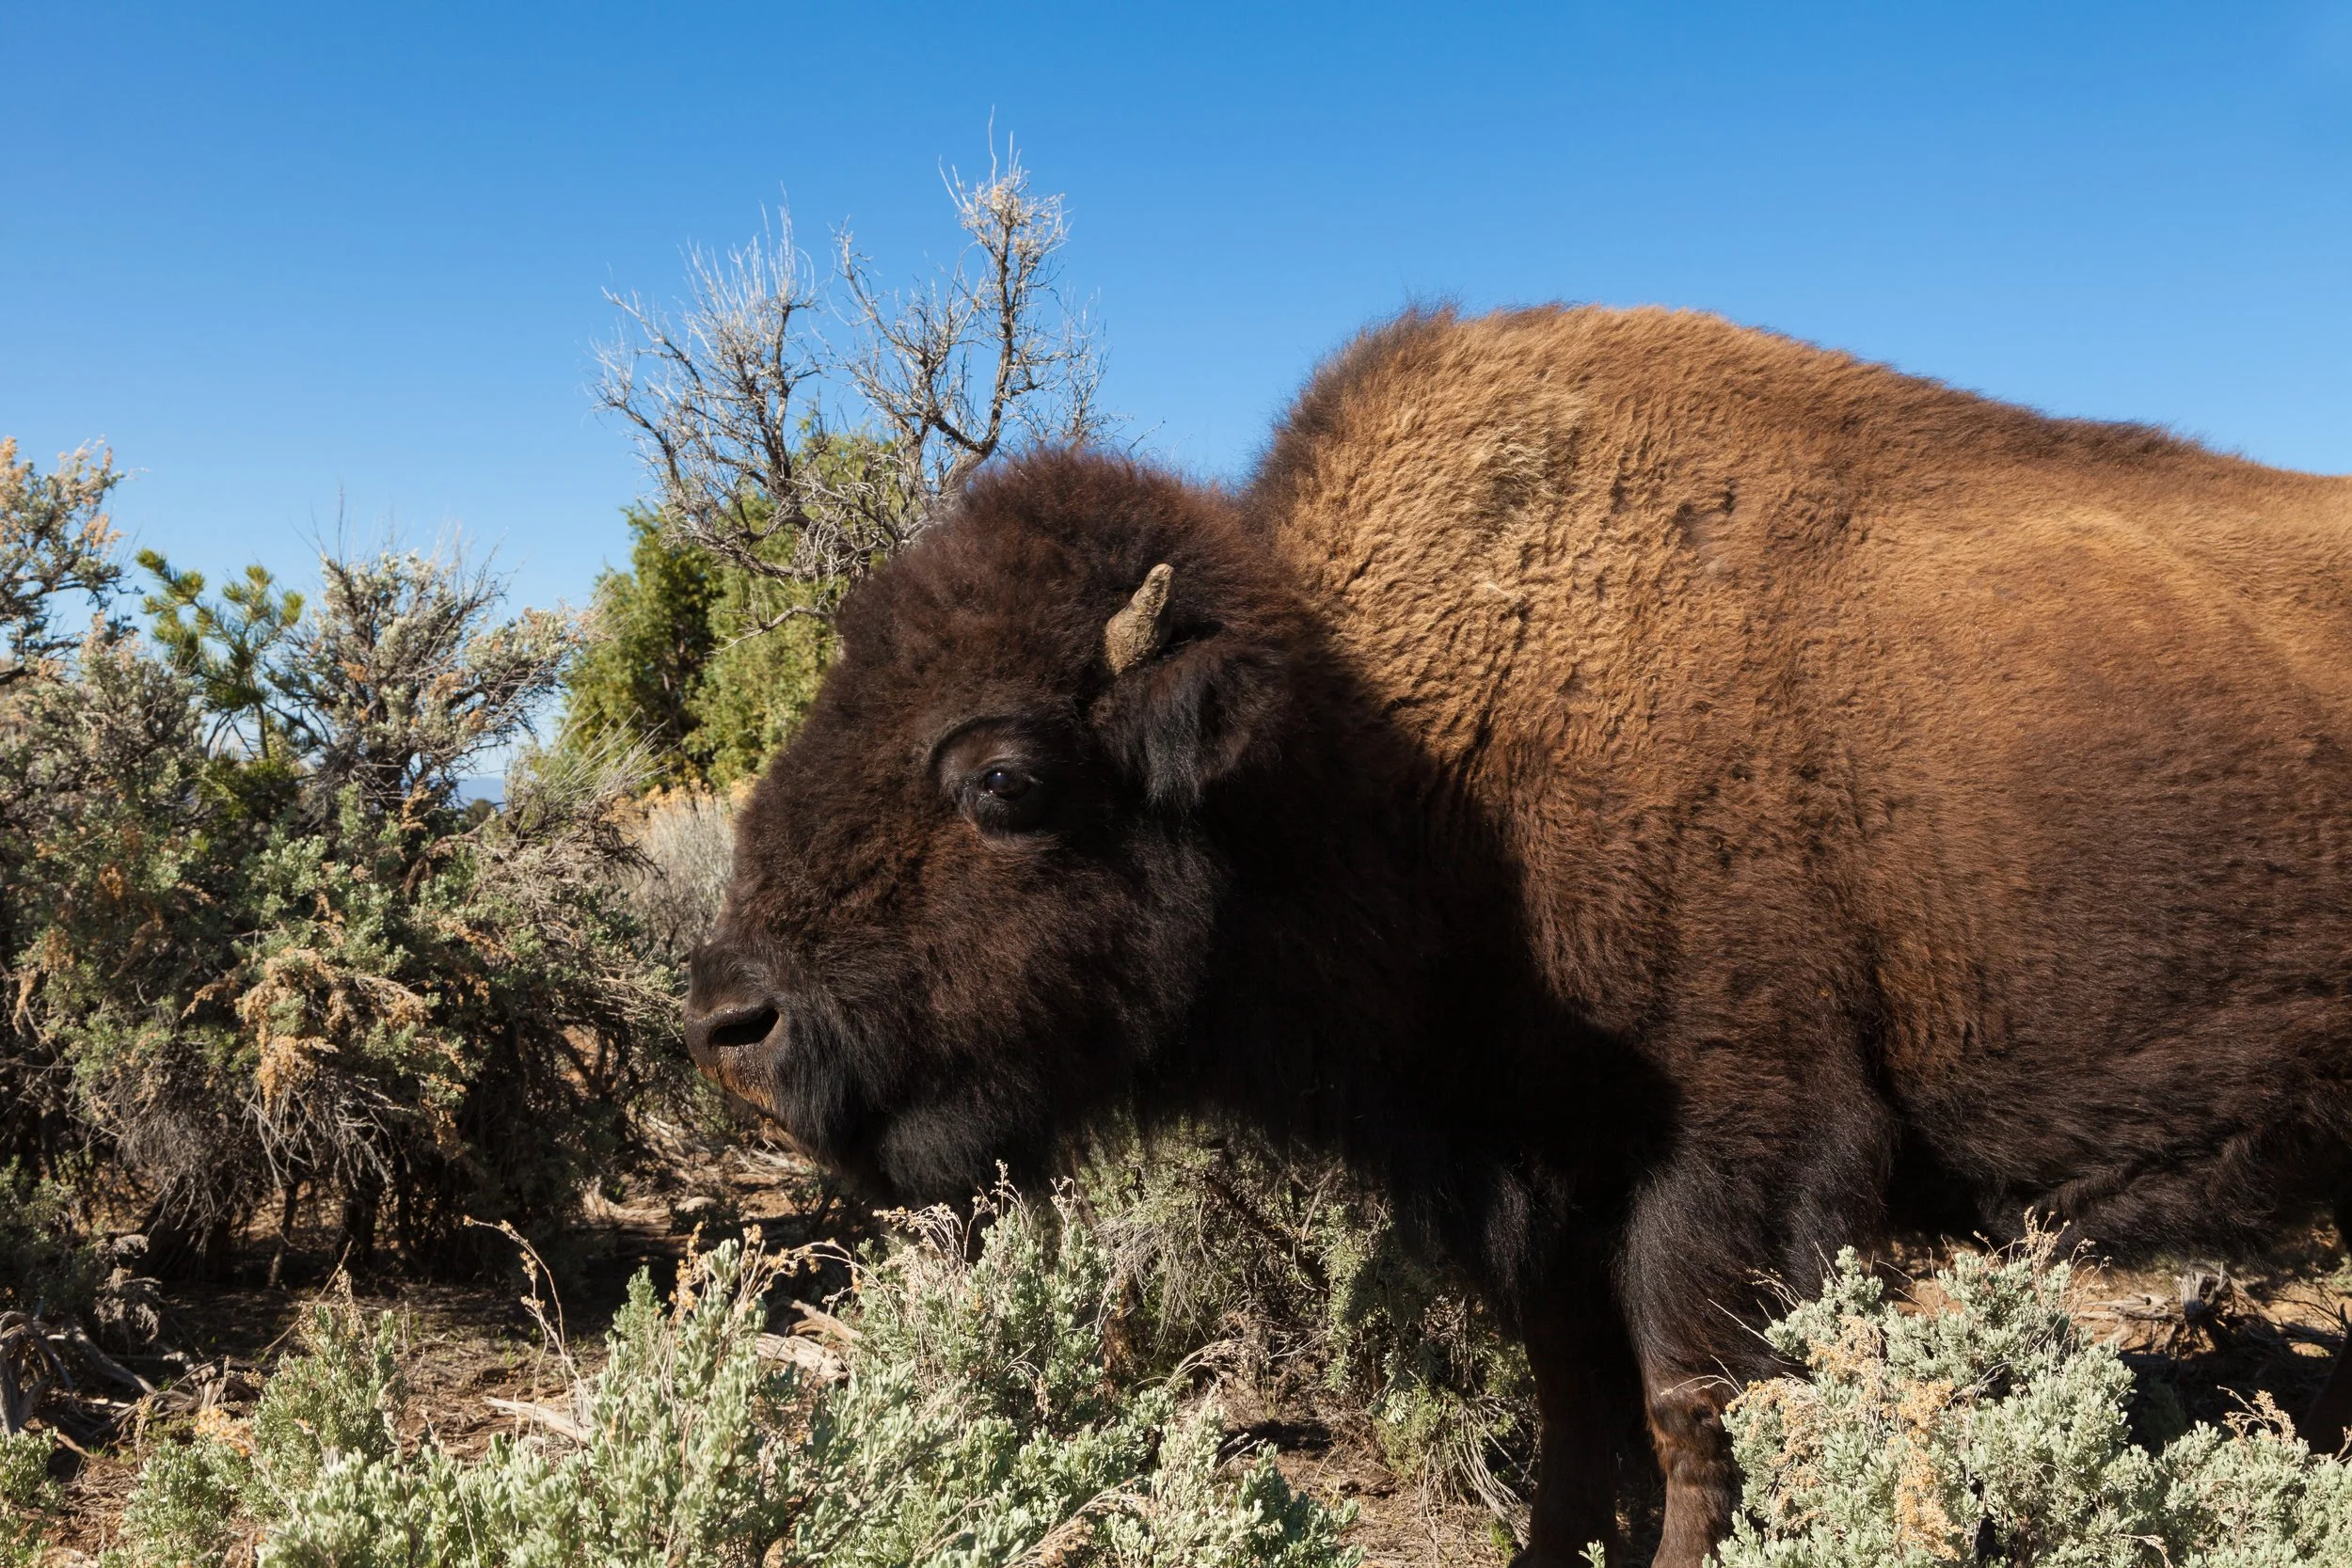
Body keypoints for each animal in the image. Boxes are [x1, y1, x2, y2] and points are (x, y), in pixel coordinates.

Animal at [685, 305, 2352, 1565]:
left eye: (1005, 780)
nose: (728, 1019)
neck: (1390, 739)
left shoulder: (1736, 1157)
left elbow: (1693, 1412)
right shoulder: (1529, 1178)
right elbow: (1576, 1415)